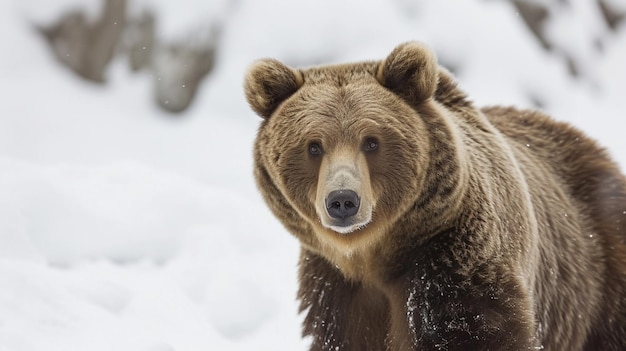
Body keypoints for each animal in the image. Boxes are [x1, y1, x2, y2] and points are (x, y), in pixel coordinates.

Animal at [241, 42, 624, 350]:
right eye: (313, 146)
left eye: (372, 141)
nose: (343, 200)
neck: (374, 255)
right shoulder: (336, 290)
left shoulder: (452, 260)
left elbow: (474, 333)